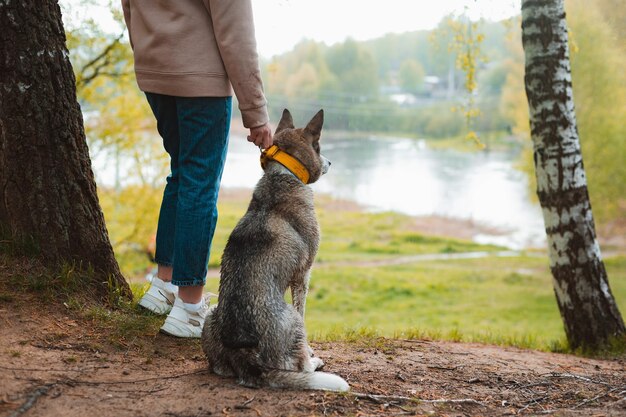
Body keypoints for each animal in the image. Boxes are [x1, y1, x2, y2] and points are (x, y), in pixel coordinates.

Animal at [201, 107, 348, 390]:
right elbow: (304, 311)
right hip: (292, 319)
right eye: (318, 145)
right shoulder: (303, 275)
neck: (283, 176)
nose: (331, 163)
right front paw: (311, 352)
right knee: (301, 364)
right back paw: (313, 364)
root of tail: (246, 355)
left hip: (211, 315)